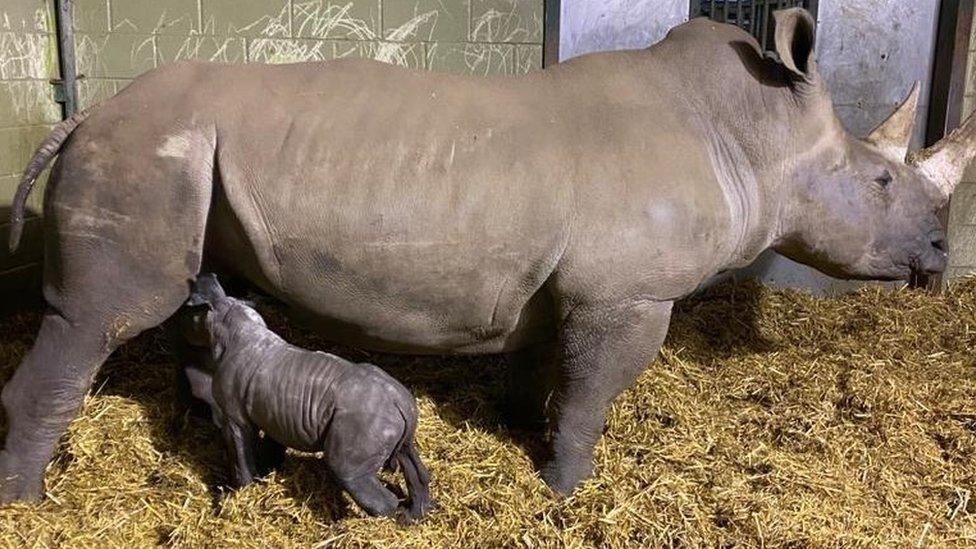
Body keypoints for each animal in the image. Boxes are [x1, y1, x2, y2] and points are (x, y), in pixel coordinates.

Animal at [1, 8, 976, 498]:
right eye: (880, 182)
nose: (938, 251)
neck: (749, 136)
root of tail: (85, 114)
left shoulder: (563, 287)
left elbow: (544, 370)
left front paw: (517, 430)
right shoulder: (627, 294)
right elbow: (591, 395)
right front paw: (563, 489)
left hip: (174, 153)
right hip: (145, 149)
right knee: (96, 318)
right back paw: (28, 500)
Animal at [180, 274, 430, 524]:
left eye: (190, 315)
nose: (181, 329)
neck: (228, 319)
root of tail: (401, 402)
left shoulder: (234, 417)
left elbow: (240, 455)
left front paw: (242, 491)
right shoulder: (274, 410)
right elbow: (271, 444)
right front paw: (268, 472)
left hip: (364, 422)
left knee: (348, 471)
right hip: (396, 416)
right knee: (409, 458)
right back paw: (412, 517)